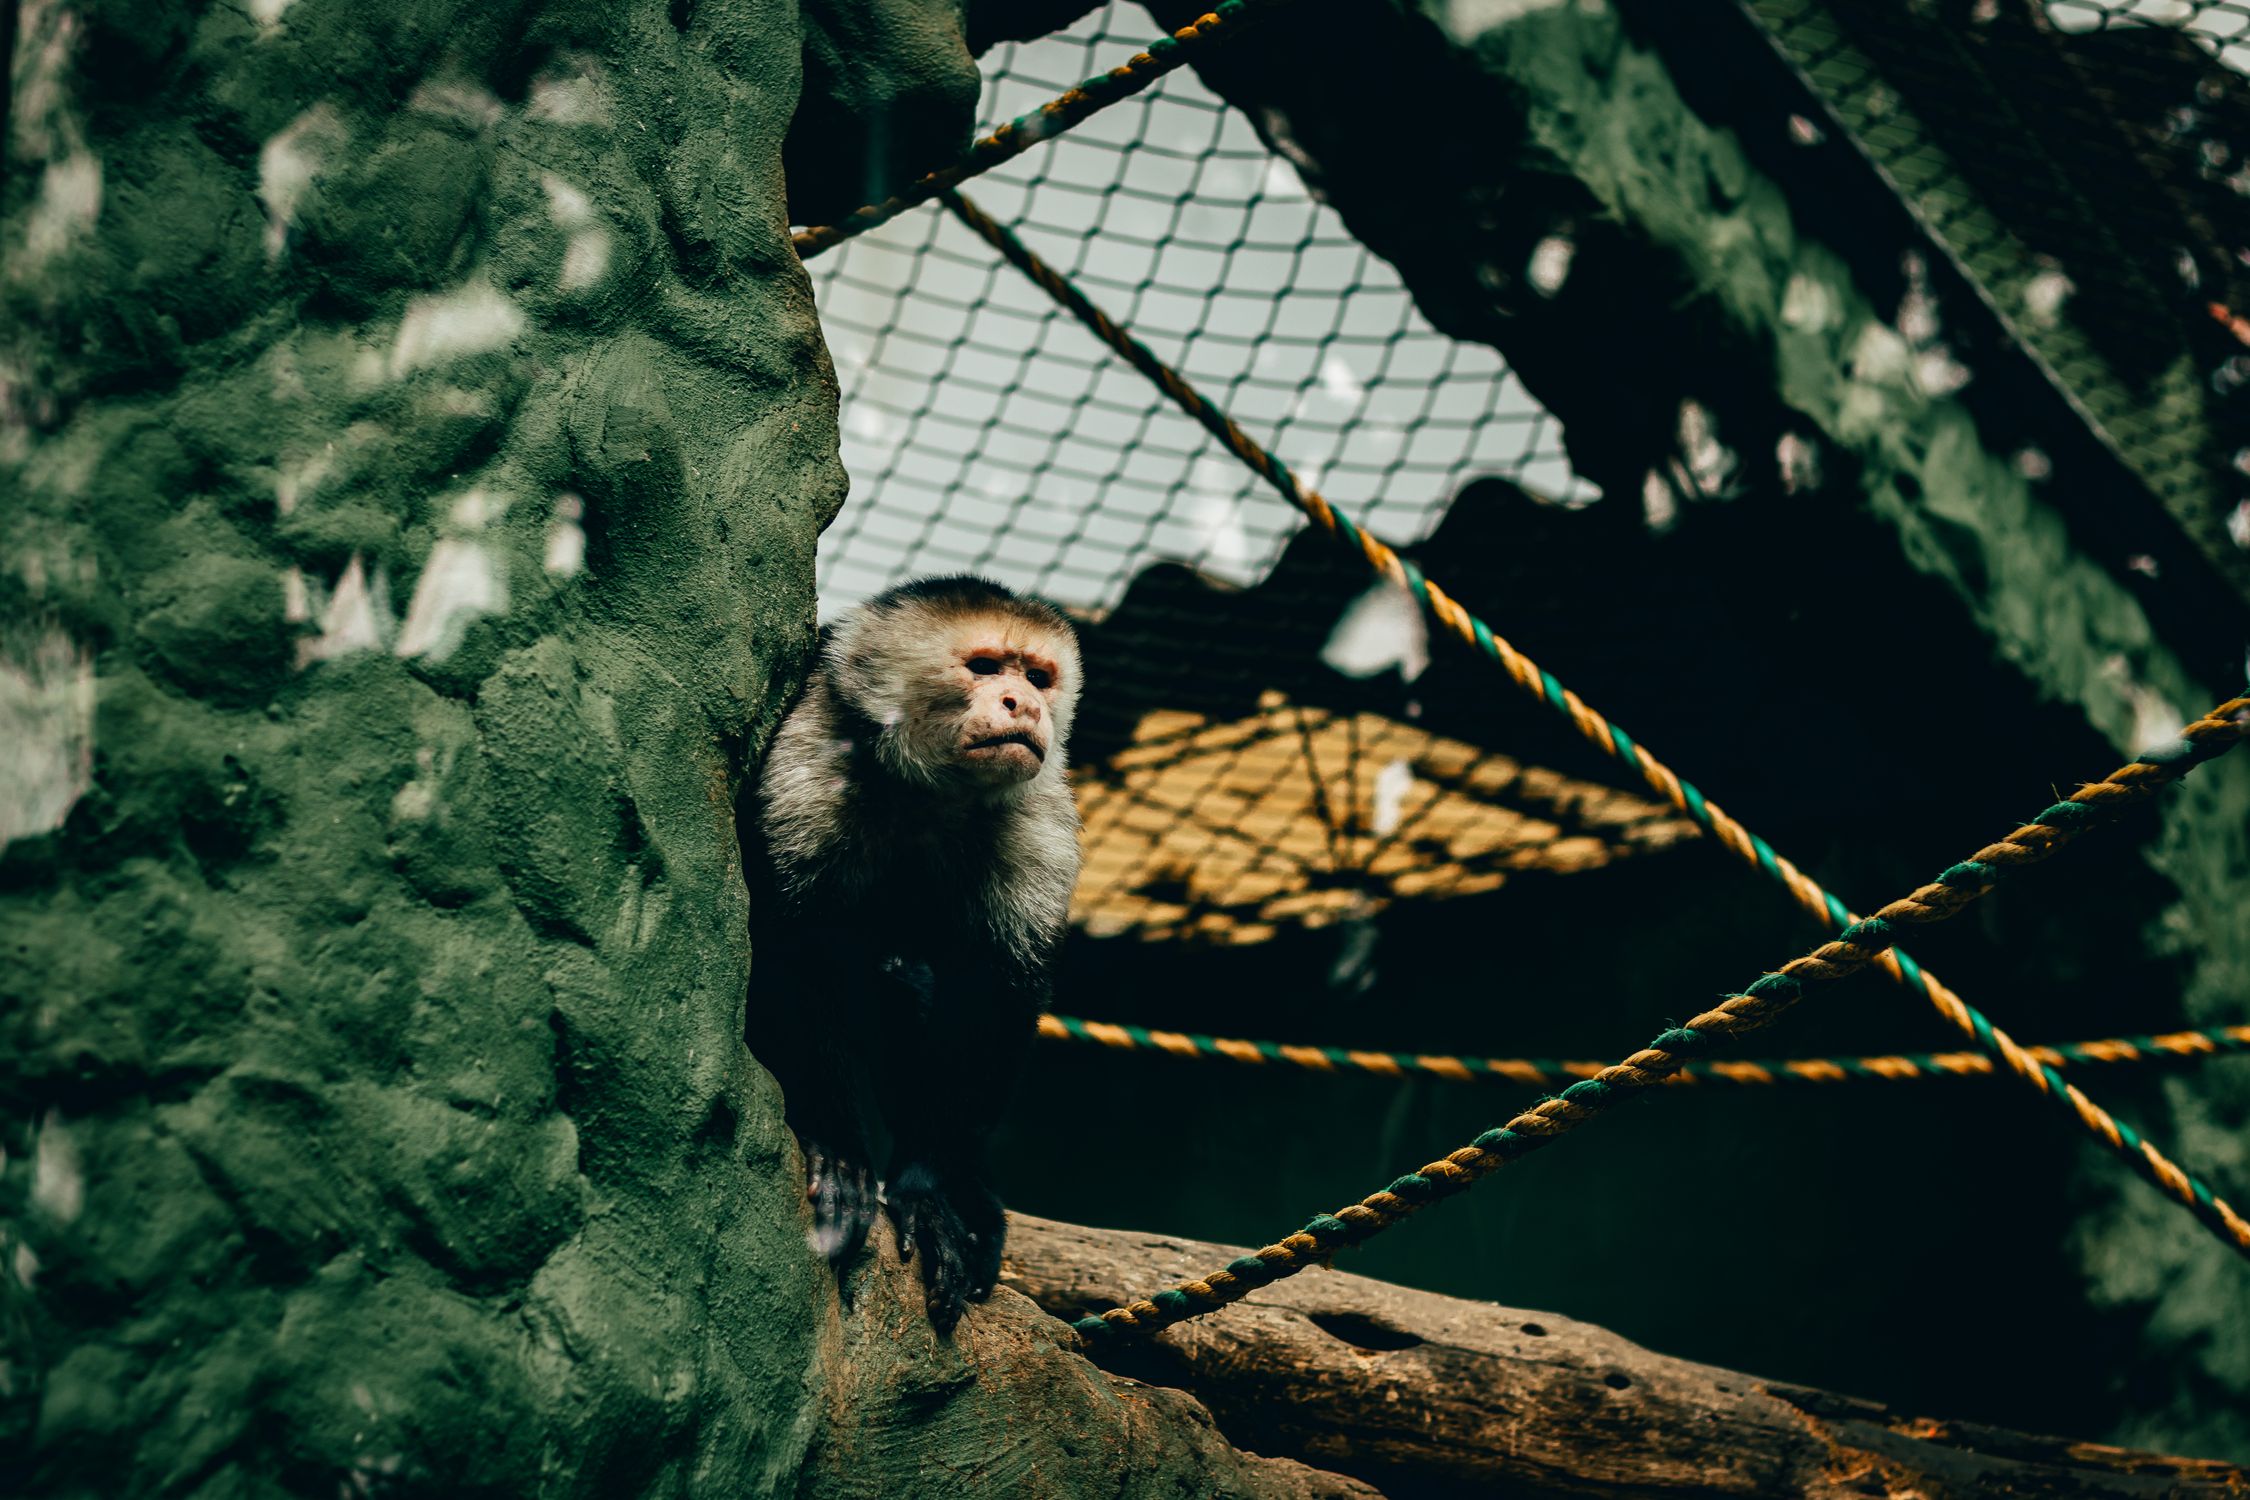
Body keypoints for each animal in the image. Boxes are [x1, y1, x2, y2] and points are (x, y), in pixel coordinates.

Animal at [743, 575, 1083, 1334]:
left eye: (1038, 677)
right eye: (984, 667)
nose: (1024, 705)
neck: (928, 795)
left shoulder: (1036, 818)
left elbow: (998, 994)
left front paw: (929, 1192)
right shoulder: (811, 764)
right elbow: (792, 948)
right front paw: (838, 1146)